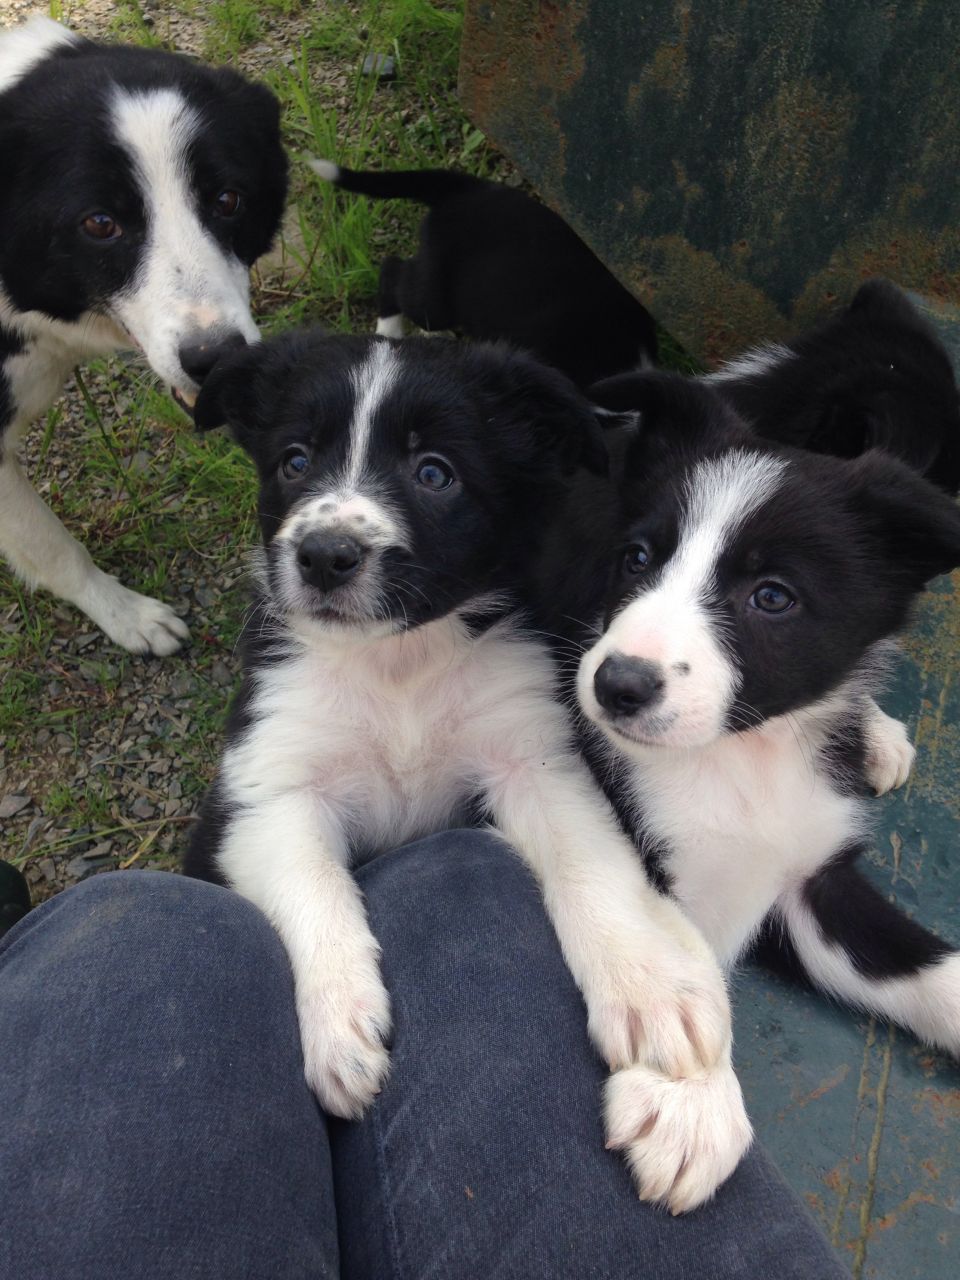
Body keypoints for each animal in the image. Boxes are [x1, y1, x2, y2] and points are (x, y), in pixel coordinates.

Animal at [184, 330, 757, 1208]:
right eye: (293, 460)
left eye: (434, 473)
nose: (323, 555)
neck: (399, 666)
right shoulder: (265, 784)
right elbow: (315, 888)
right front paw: (342, 1028)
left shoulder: (536, 752)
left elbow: (595, 869)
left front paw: (652, 992)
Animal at [563, 373, 960, 1059]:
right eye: (637, 558)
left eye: (772, 596)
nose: (617, 686)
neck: (747, 756)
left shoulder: (811, 884)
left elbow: (933, 973)